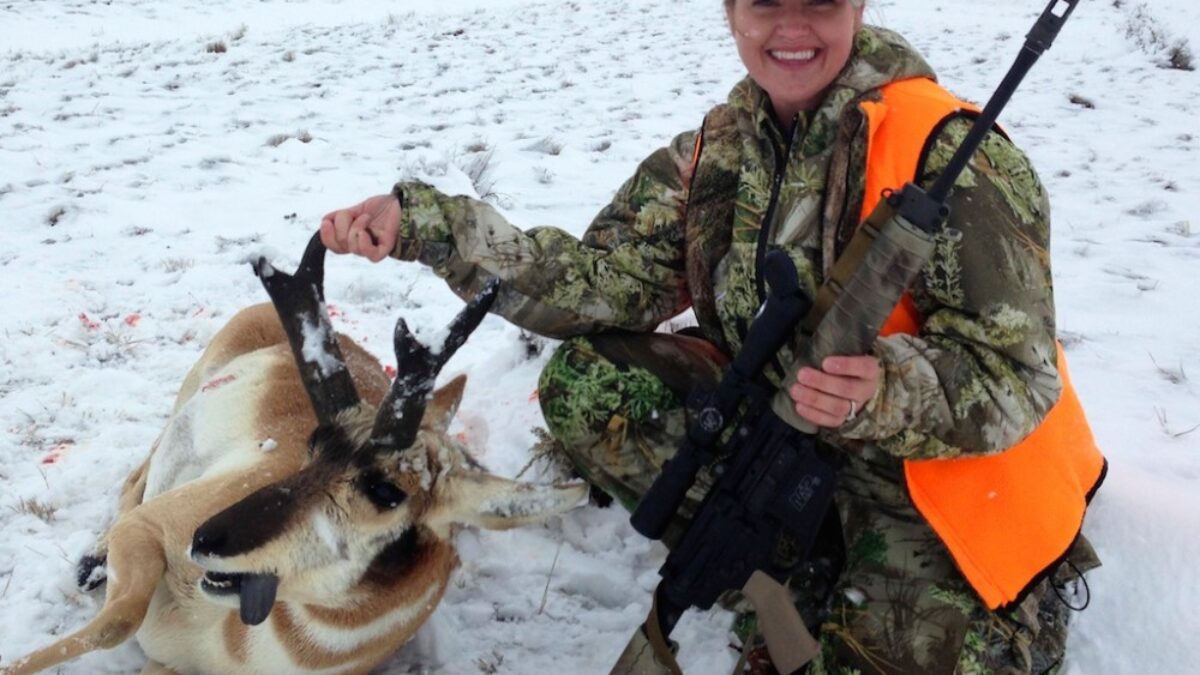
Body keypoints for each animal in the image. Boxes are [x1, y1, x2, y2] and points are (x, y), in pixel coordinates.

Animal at [4, 234, 585, 672]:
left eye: (386, 490)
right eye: (314, 444)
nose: (204, 539)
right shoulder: (147, 528)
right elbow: (116, 622)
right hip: (188, 393)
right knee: (138, 471)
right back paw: (93, 560)